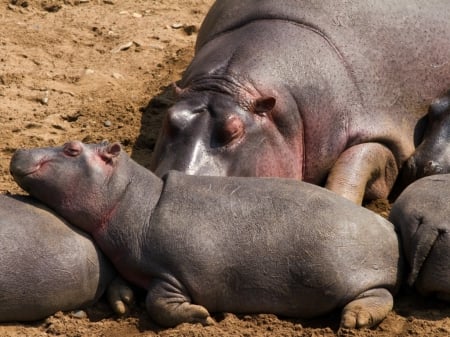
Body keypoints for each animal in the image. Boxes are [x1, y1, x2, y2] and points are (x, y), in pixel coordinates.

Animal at [11, 141, 404, 328]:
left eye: (71, 148)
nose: (17, 151)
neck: (131, 198)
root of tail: (389, 227)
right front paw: (123, 304)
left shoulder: (173, 272)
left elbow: (159, 304)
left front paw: (201, 316)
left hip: (356, 276)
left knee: (379, 295)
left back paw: (355, 320)